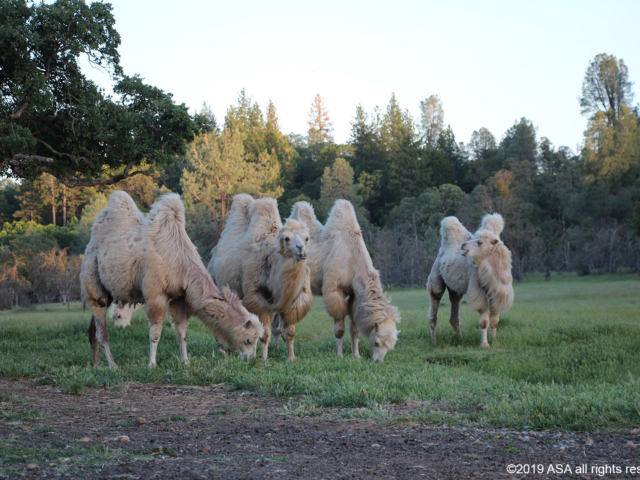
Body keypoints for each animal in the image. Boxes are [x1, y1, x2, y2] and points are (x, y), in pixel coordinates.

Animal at [81, 191, 264, 368]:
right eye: (248, 340)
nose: (250, 359)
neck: (179, 261)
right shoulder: (155, 295)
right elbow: (155, 334)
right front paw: (152, 364)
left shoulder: (179, 296)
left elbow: (182, 333)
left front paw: (186, 362)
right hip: (93, 280)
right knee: (101, 330)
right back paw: (113, 365)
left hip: (107, 294)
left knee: (92, 328)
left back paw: (96, 363)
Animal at [208, 193, 312, 362]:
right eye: (286, 238)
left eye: (307, 238)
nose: (301, 249)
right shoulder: (257, 298)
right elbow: (265, 334)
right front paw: (264, 360)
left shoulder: (294, 303)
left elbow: (289, 332)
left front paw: (291, 358)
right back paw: (227, 356)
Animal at [290, 201, 400, 362]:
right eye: (376, 342)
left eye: (390, 347)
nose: (377, 361)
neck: (352, 258)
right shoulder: (335, 291)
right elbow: (339, 329)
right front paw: (340, 355)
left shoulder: (355, 294)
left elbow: (354, 329)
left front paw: (357, 355)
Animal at [424, 213, 516, 344]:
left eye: (480, 242)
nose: (463, 245)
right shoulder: (479, 291)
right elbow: (484, 322)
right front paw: (485, 344)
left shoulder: (498, 293)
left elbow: (494, 321)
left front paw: (494, 340)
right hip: (436, 274)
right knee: (434, 303)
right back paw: (434, 340)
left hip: (455, 290)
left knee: (454, 314)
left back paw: (460, 339)